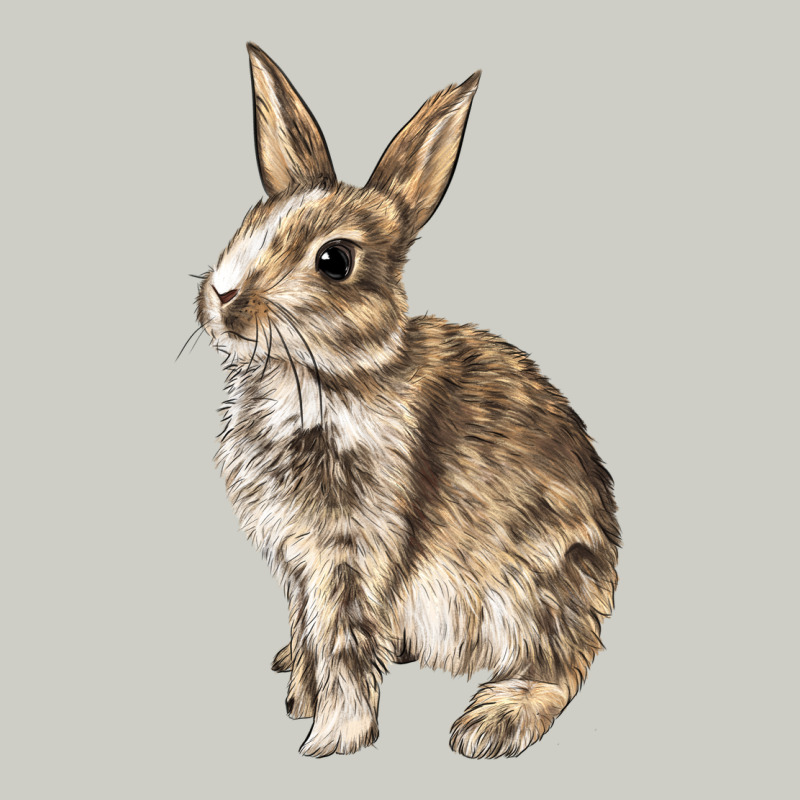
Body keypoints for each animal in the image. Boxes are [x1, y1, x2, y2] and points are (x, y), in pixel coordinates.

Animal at [194, 42, 620, 759]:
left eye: (334, 260)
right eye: (248, 224)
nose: (223, 296)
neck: (322, 376)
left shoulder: (352, 552)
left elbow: (340, 645)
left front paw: (330, 740)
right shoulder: (299, 563)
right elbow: (309, 633)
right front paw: (299, 696)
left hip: (531, 594)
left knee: (562, 668)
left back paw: (490, 723)